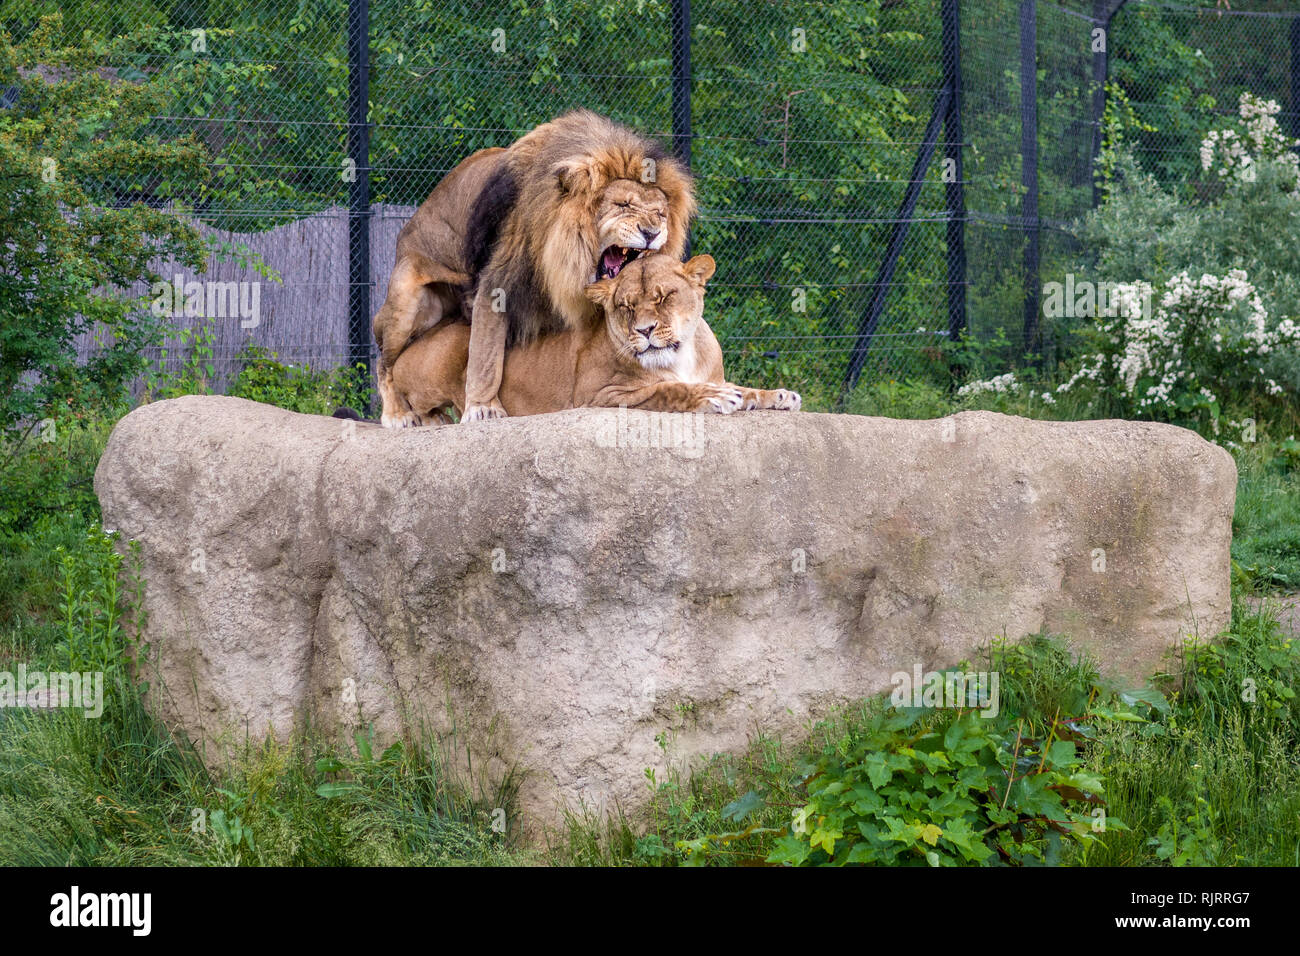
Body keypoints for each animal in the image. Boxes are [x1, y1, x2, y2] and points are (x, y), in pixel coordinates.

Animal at [371, 109, 697, 427]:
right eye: (623, 205)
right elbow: (485, 357)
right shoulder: (496, 284)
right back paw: (397, 415)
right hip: (406, 304)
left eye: (660, 213)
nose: (652, 232)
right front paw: (483, 408)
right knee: (385, 362)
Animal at [386, 253, 801, 422]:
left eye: (663, 297)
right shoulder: (597, 396)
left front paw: (779, 396)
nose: (645, 330)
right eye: (626, 306)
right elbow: (666, 390)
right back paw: (412, 418)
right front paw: (713, 398)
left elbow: (743, 389)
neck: (682, 354)